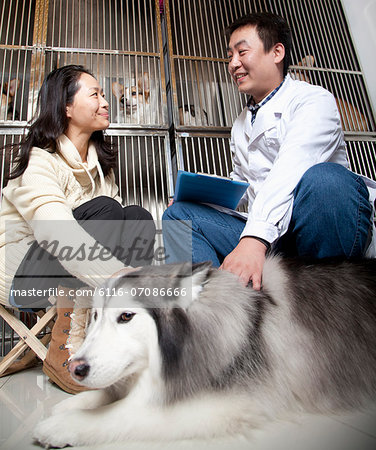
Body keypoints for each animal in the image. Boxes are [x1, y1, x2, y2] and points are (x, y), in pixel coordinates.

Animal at [33, 255, 376, 448]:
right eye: (94, 317)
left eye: (126, 317)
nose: (75, 368)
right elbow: (108, 395)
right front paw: (72, 405)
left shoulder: (228, 404)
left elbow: (123, 414)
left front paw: (64, 424)